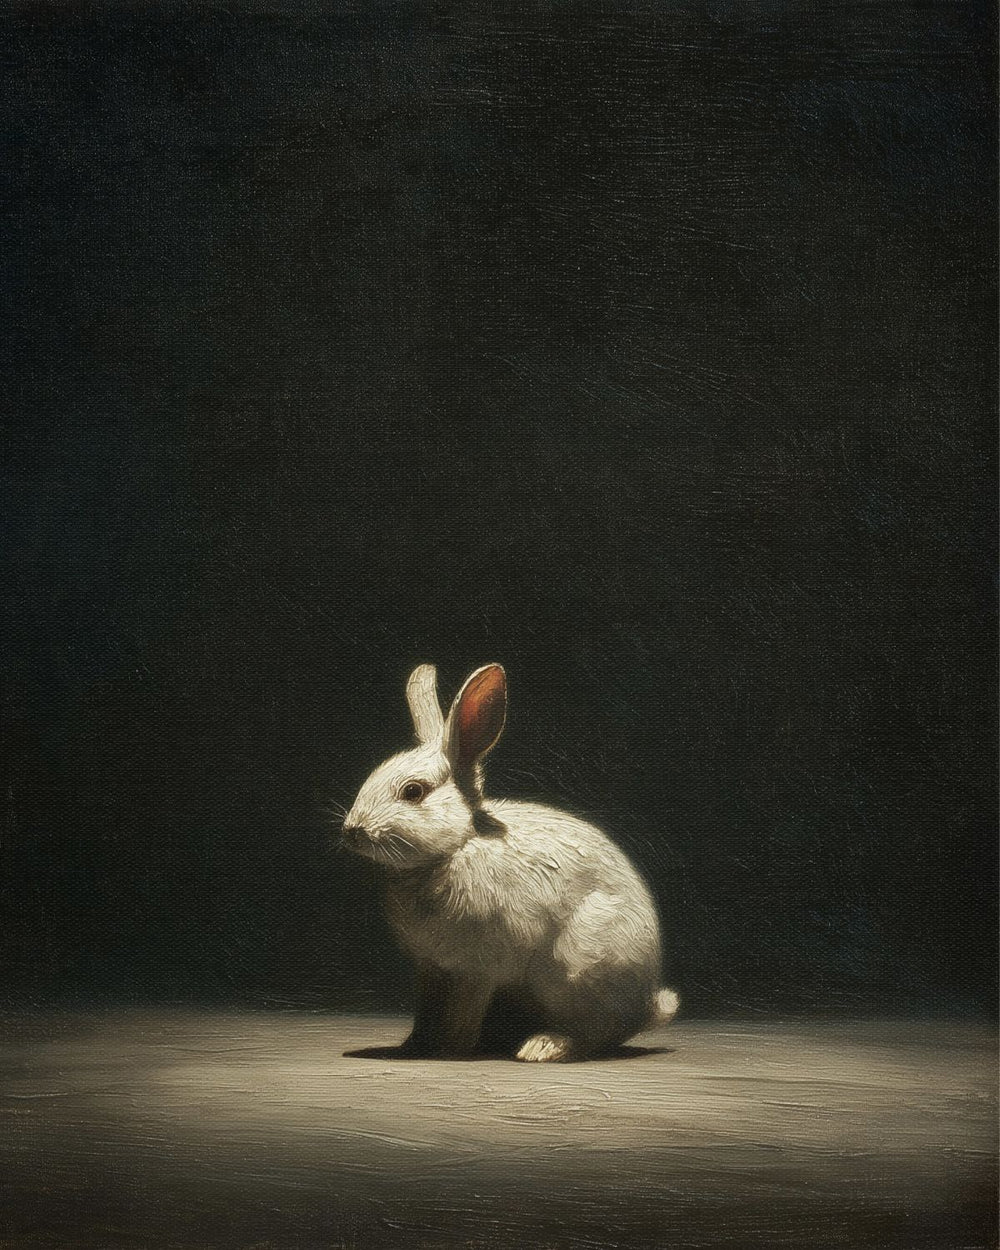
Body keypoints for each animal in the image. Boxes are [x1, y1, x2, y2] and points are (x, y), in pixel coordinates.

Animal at [340, 663, 679, 1062]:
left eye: (413, 791)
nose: (352, 830)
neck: (455, 847)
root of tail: (648, 1006)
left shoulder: (477, 969)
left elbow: (462, 1011)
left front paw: (449, 1049)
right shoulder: (432, 969)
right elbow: (427, 1011)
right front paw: (414, 1045)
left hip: (579, 970)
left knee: (595, 1033)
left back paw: (543, 1047)